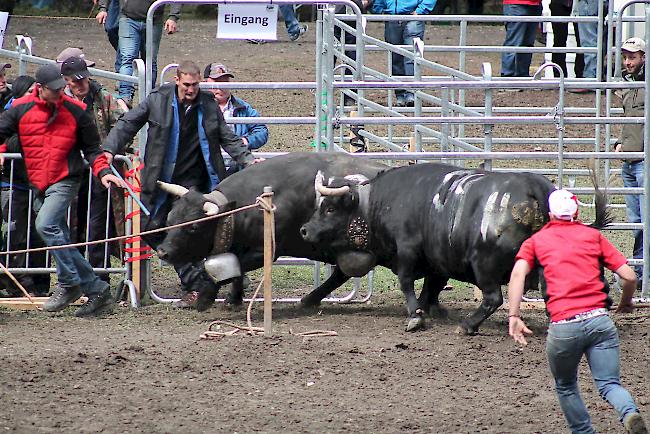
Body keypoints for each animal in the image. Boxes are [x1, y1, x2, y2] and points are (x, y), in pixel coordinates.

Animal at [154, 152, 388, 308]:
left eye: (193, 226)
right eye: (171, 218)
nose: (163, 251)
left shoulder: (266, 250)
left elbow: (232, 267)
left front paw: (205, 298)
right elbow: (236, 270)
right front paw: (233, 298)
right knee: (342, 273)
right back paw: (309, 300)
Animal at [298, 161, 608, 334]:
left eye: (329, 208)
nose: (304, 229)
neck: (380, 202)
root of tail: (537, 190)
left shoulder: (407, 250)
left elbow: (407, 282)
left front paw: (415, 316)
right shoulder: (439, 262)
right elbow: (431, 288)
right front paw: (430, 309)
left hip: (485, 265)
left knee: (492, 298)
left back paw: (469, 325)